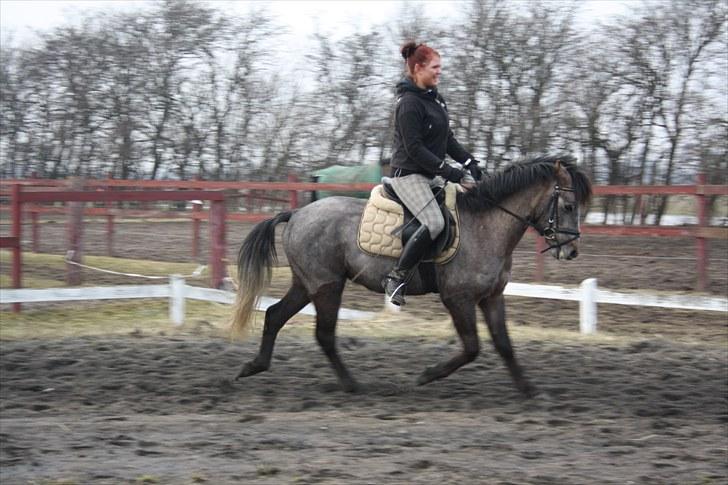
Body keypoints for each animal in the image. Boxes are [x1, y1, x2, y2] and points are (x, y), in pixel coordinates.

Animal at [230, 154, 592, 396]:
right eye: (569, 206)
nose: (572, 251)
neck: (486, 225)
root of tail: (296, 214)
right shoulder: (458, 299)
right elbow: (472, 347)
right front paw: (427, 376)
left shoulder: (491, 297)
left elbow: (504, 344)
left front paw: (530, 390)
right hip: (327, 286)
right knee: (324, 334)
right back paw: (352, 385)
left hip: (307, 284)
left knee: (275, 316)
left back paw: (254, 366)